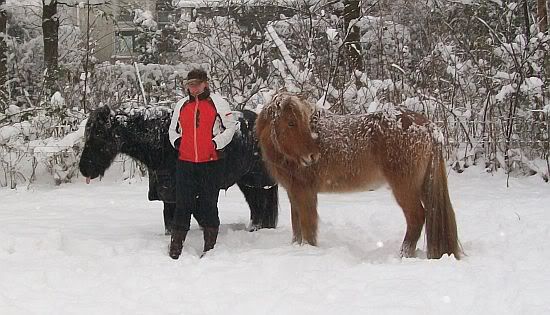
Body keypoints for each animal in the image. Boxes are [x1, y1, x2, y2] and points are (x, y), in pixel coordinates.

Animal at [79, 105, 278, 235]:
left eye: (99, 134)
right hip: (247, 183)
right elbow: (171, 222)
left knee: (261, 207)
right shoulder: (168, 194)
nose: (84, 168)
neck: (163, 142)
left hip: (258, 182)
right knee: (257, 208)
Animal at [258, 92, 462, 260]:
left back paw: (403, 255)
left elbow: (307, 228)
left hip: (405, 188)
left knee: (417, 218)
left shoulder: (305, 192)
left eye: (304, 122)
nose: (313, 156)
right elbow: (297, 227)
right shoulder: (294, 193)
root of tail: (429, 126)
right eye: (291, 123)